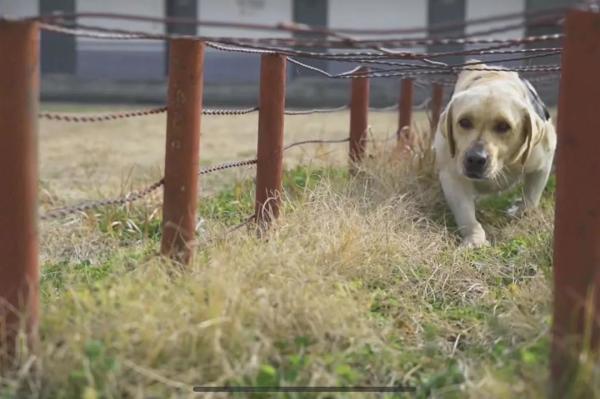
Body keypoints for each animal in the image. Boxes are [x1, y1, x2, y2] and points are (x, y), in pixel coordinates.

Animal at [434, 62, 556, 247]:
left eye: (503, 126)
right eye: (464, 122)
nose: (475, 159)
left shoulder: (543, 163)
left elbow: (531, 198)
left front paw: (521, 212)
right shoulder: (452, 177)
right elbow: (466, 214)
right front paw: (474, 238)